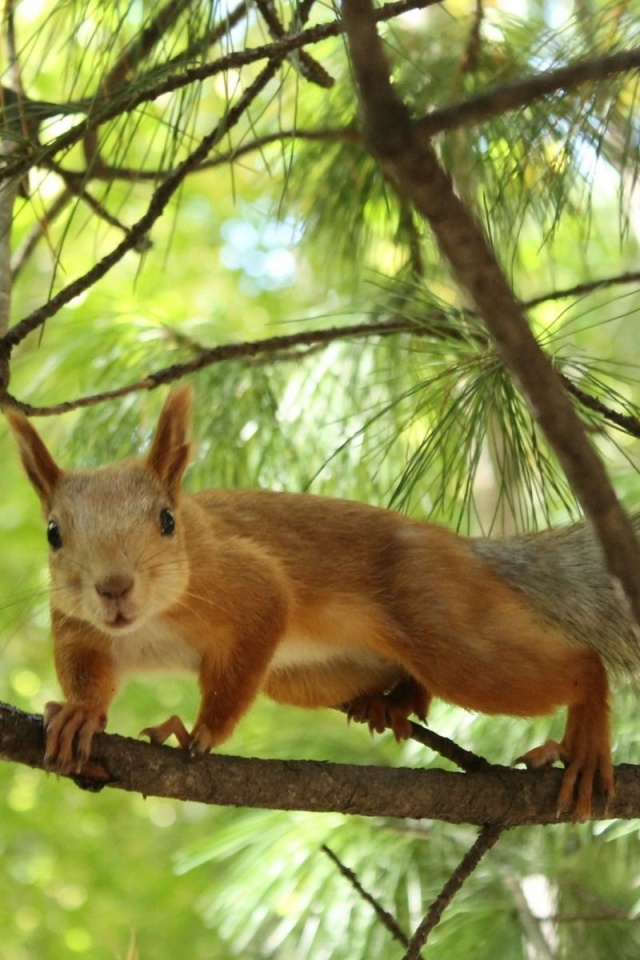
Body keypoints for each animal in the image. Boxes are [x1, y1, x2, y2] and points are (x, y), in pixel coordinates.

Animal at [6, 386, 640, 820]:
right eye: (53, 533)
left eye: (166, 520)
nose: (113, 587)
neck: (148, 621)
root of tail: (469, 553)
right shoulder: (77, 626)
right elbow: (88, 672)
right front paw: (81, 713)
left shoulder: (251, 583)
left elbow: (247, 650)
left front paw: (199, 732)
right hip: (305, 675)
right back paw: (391, 702)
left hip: (445, 622)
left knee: (575, 664)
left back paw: (586, 741)